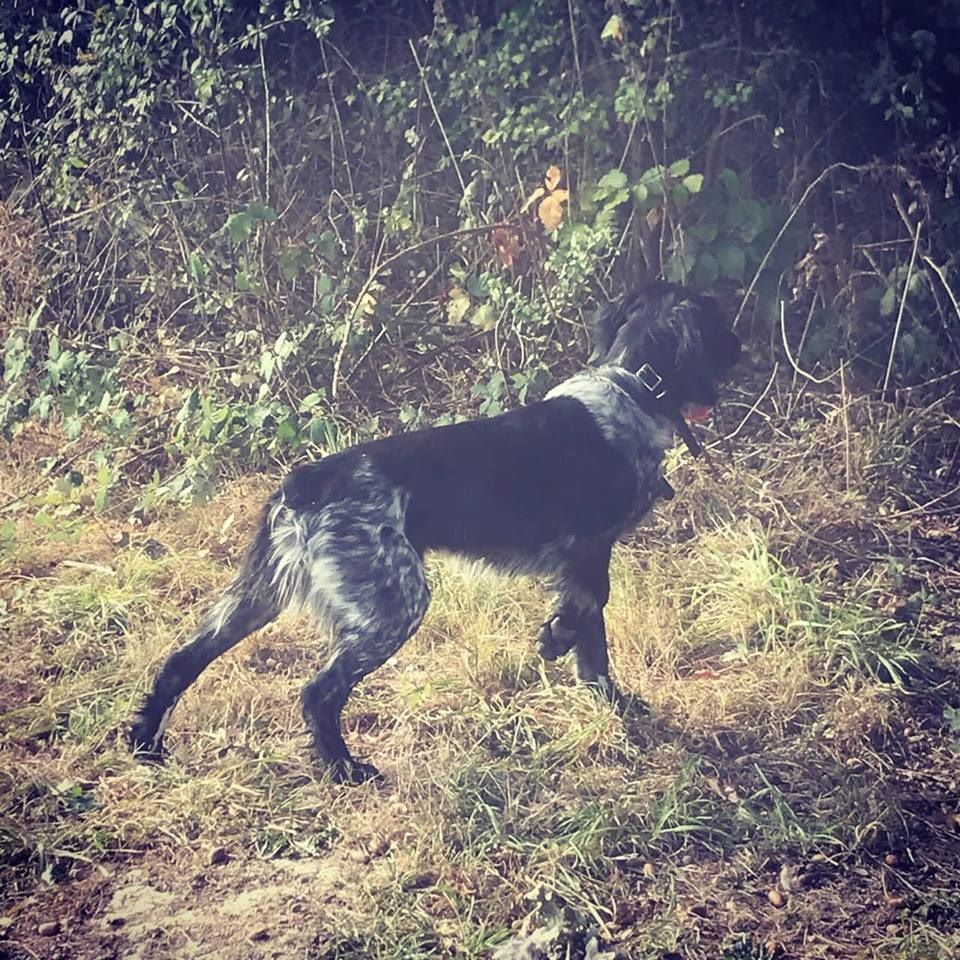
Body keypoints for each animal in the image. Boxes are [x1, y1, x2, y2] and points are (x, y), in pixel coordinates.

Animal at [129, 282, 744, 784]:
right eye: (719, 323)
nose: (743, 348)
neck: (633, 387)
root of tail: (305, 483)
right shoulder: (590, 549)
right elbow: (589, 618)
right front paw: (559, 644)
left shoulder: (586, 555)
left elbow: (593, 642)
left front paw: (611, 700)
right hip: (395, 603)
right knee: (317, 693)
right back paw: (346, 769)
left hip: (256, 597)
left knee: (181, 661)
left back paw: (145, 744)